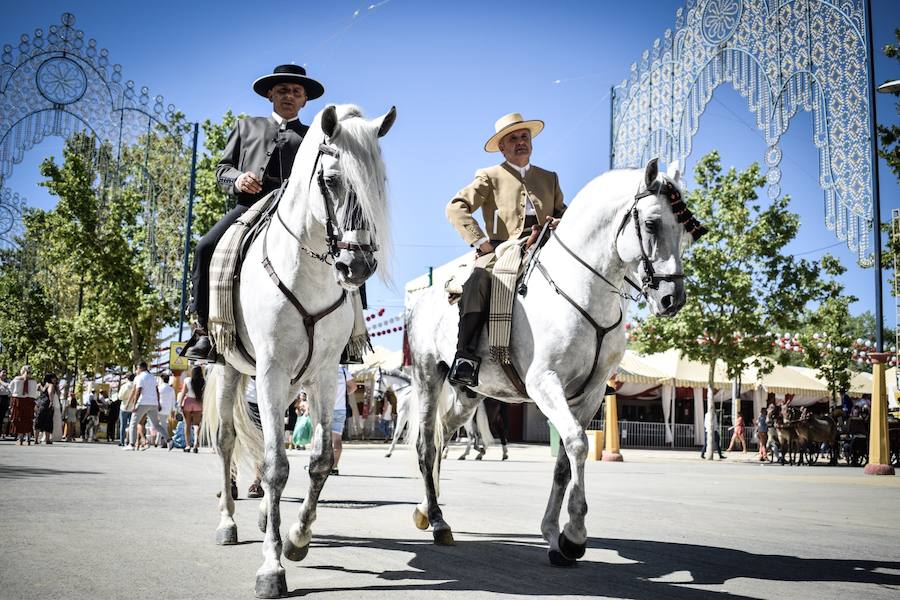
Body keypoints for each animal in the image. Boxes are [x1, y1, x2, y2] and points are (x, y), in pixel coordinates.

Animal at [202, 102, 396, 596]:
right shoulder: (270, 369)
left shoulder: (324, 375)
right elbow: (275, 466)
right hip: (233, 368)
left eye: (379, 184)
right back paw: (227, 522)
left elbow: (320, 460)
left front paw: (296, 538)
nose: (357, 265)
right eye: (330, 180)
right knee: (228, 440)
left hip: (293, 382)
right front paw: (271, 567)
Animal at [404, 156, 700, 568]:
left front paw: (554, 536)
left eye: (686, 232)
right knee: (426, 445)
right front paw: (574, 534)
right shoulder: (545, 383)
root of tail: (426, 297)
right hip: (428, 377)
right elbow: (577, 444)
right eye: (653, 223)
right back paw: (436, 520)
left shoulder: (591, 394)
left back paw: (423, 509)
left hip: (469, 394)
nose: (673, 299)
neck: (583, 290)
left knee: (444, 434)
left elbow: (564, 459)